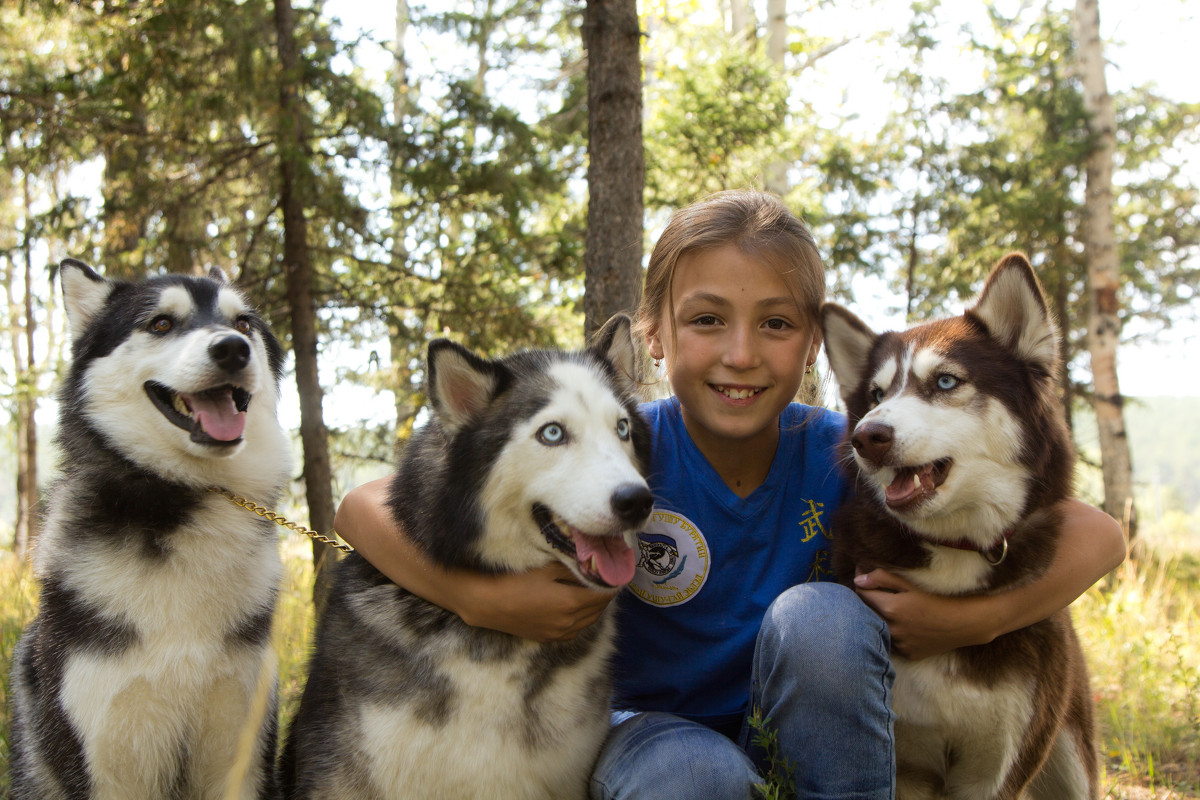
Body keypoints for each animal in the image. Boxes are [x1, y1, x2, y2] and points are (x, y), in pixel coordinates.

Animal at [9, 261, 292, 800]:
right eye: (160, 323)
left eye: (243, 323)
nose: (232, 348)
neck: (186, 496)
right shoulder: (105, 757)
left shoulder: (241, 749)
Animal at [825, 255, 1099, 800]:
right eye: (875, 394)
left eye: (947, 382)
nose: (868, 436)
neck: (954, 548)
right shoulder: (906, 767)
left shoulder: (995, 771)